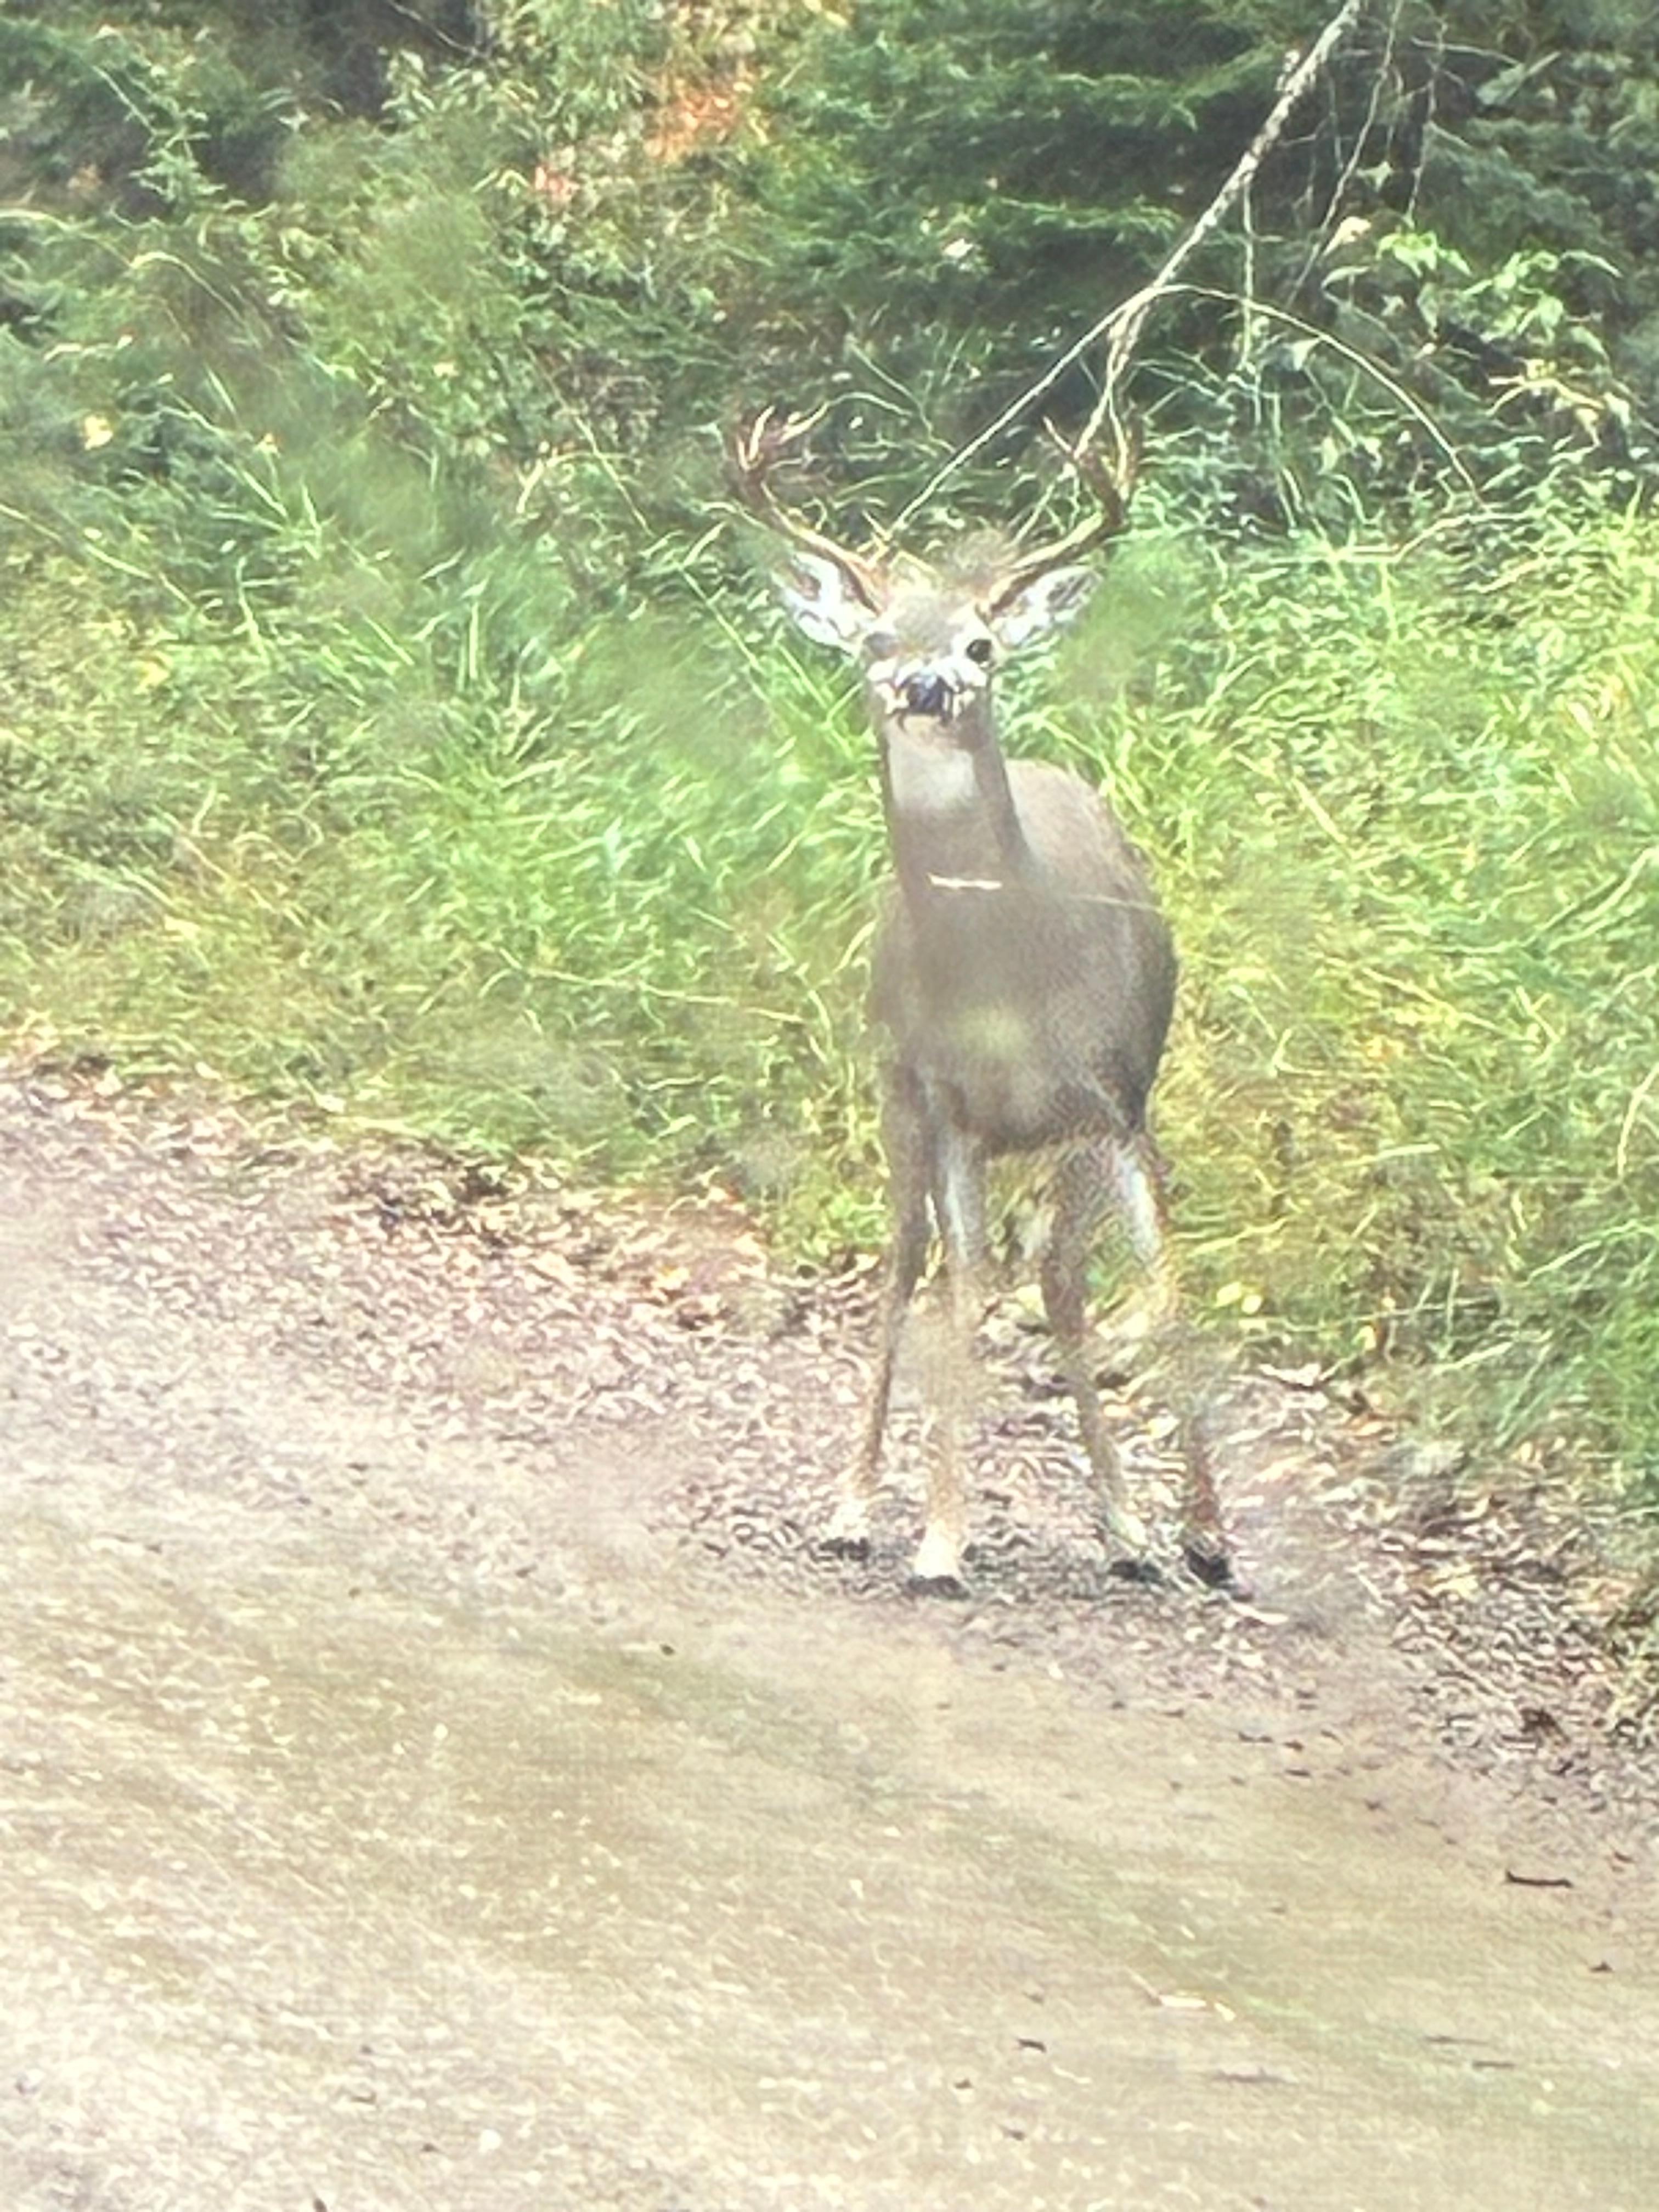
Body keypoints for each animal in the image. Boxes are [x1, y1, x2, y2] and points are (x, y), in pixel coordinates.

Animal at [732, 408, 1229, 1594]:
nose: (921, 685)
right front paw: (940, 1536)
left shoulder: (1116, 1099)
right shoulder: (952, 1102)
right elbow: (959, 1292)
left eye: (981, 645)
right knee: (912, 1264)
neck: (1016, 978)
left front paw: (1199, 1533)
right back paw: (855, 1505)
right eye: (873, 640)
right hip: (893, 1090)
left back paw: (1132, 1528)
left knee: (1057, 1275)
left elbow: (1161, 1287)